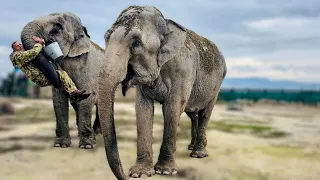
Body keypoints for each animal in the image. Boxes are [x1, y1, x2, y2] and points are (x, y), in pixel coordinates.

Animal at [20, 11, 104, 149]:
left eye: (57, 28)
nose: (41, 41)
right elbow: (59, 100)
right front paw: (61, 145)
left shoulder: (88, 67)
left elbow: (87, 99)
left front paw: (86, 146)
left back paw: (98, 133)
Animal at [98, 5, 228, 179]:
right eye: (106, 38)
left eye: (136, 42)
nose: (125, 175)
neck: (166, 24)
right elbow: (143, 109)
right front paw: (140, 173)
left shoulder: (182, 71)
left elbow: (172, 108)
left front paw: (165, 171)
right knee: (193, 114)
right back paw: (191, 147)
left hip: (217, 85)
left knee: (205, 113)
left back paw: (198, 154)